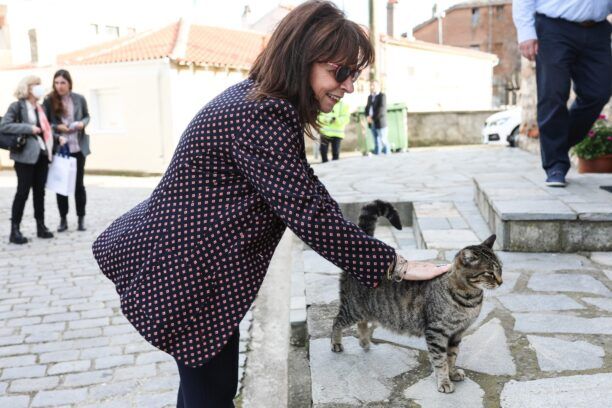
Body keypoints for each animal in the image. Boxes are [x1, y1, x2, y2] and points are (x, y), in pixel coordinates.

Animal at [330, 200, 502, 392]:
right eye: (489, 273)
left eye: (500, 269)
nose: (501, 281)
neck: (470, 299)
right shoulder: (437, 332)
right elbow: (441, 360)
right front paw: (444, 381)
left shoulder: (457, 333)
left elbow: (452, 356)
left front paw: (452, 373)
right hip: (353, 308)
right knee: (337, 321)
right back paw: (336, 343)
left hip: (368, 309)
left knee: (362, 322)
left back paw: (365, 341)